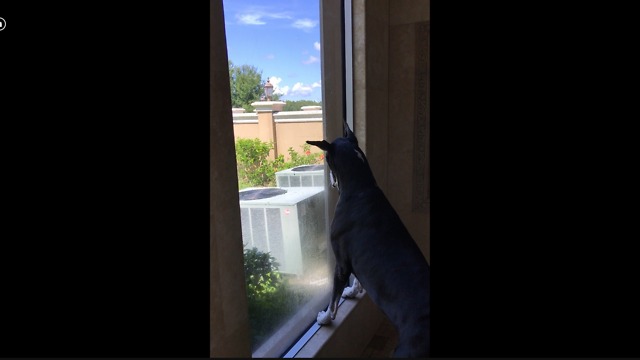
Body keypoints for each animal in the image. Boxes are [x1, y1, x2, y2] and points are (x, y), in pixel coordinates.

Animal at [308, 121, 432, 358]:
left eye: (326, 158)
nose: (330, 180)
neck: (360, 188)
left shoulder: (341, 262)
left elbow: (334, 298)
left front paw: (325, 319)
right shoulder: (356, 257)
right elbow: (357, 278)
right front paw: (353, 291)